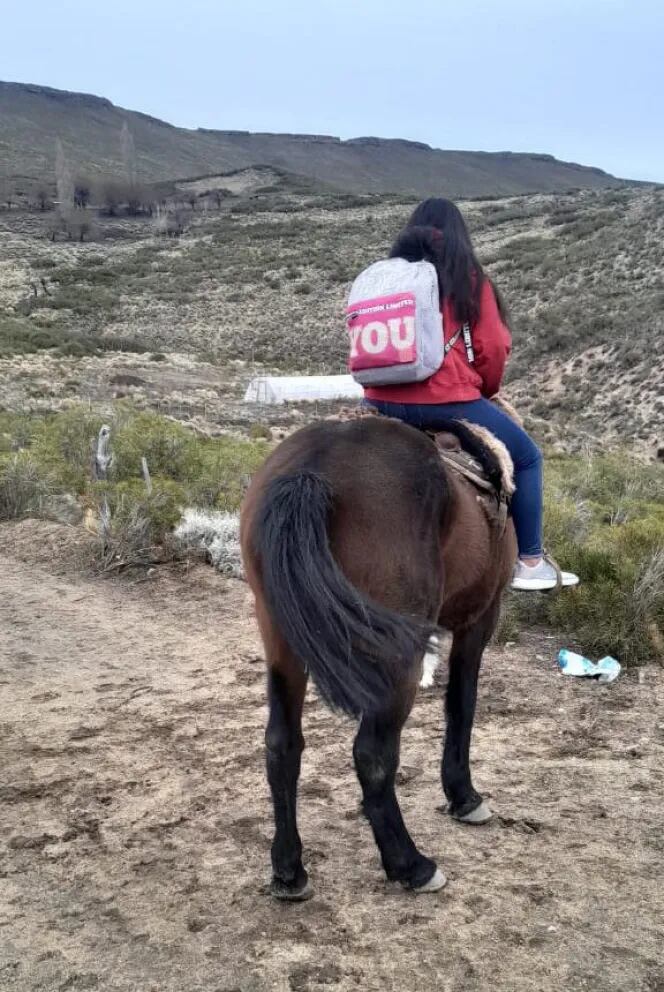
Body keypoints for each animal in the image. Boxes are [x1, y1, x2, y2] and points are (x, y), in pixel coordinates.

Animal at [241, 410, 516, 900]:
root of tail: (311, 469)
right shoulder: (481, 617)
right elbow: (462, 705)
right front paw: (464, 796)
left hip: (280, 638)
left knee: (281, 743)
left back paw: (289, 871)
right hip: (394, 657)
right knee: (372, 754)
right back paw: (411, 864)